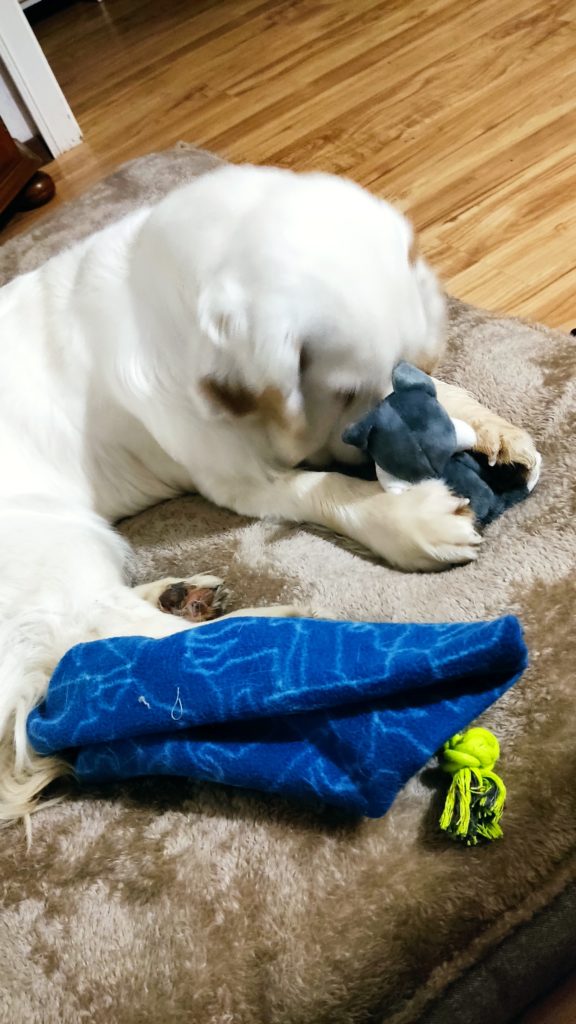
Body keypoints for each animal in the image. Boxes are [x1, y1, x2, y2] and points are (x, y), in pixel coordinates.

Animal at [0, 164, 540, 823]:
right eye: (342, 391)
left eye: (405, 370)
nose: (371, 452)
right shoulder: (238, 478)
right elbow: (323, 487)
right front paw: (411, 516)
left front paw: (492, 429)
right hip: (57, 533)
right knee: (100, 636)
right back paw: (269, 632)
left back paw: (182, 596)